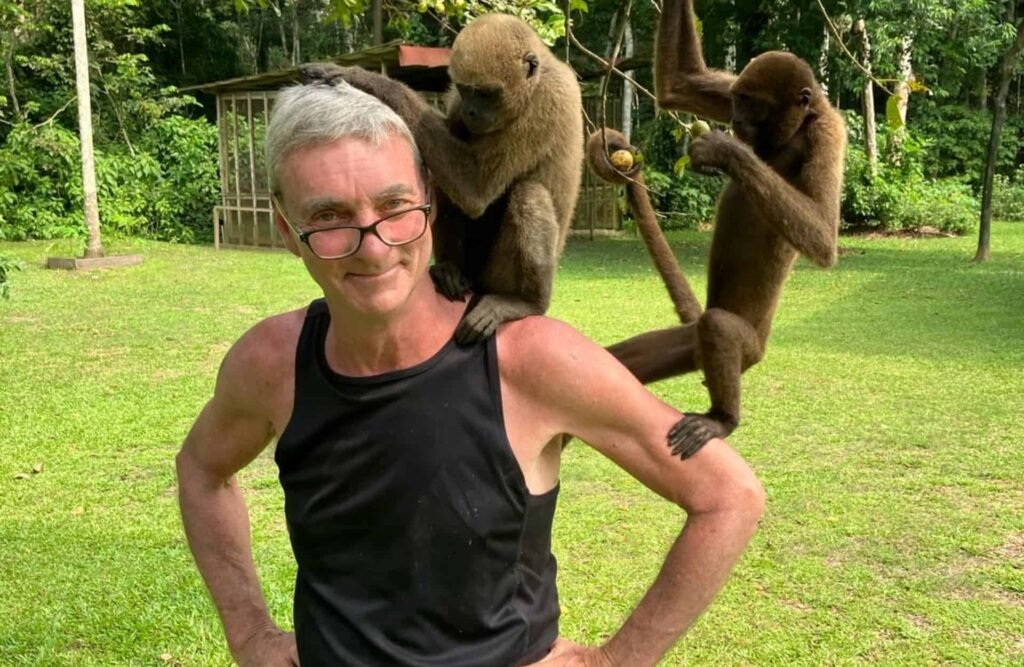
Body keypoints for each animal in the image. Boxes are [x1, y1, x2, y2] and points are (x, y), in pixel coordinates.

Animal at [299, 15, 581, 344]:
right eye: (466, 90)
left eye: (486, 93)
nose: (472, 111)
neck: (536, 81)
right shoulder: (456, 103)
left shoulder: (544, 104)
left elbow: (475, 191)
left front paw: (367, 79)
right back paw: (448, 270)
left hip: (498, 273)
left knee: (528, 193)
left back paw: (527, 302)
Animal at [602, 0, 843, 459]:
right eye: (738, 100)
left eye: (755, 105)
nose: (735, 119)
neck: (804, 120)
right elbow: (678, 84)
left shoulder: (830, 132)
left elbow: (823, 240)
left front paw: (724, 150)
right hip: (688, 344)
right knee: (625, 355)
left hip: (745, 347)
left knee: (718, 326)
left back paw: (723, 419)